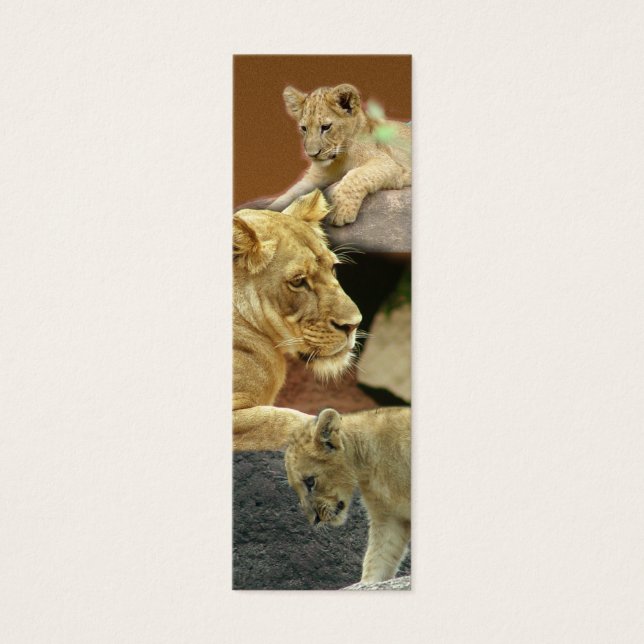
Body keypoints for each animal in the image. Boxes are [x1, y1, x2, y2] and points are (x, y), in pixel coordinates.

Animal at [268, 84, 411, 226]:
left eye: (326, 127)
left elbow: (357, 175)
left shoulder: (391, 164)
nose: (312, 154)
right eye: (304, 128)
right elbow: (291, 193)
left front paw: (340, 210)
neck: (339, 159)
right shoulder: (315, 178)